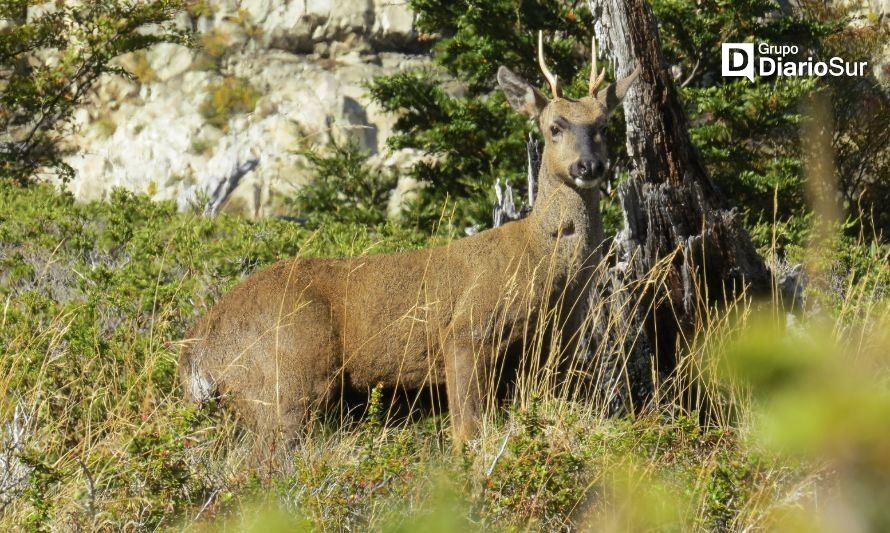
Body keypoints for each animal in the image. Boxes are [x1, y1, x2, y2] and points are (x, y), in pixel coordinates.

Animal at [182, 31, 640, 442]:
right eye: (554, 127)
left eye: (603, 125)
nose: (588, 166)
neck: (547, 268)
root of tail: (200, 345)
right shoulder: (466, 332)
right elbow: (468, 434)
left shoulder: (550, 354)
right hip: (285, 377)